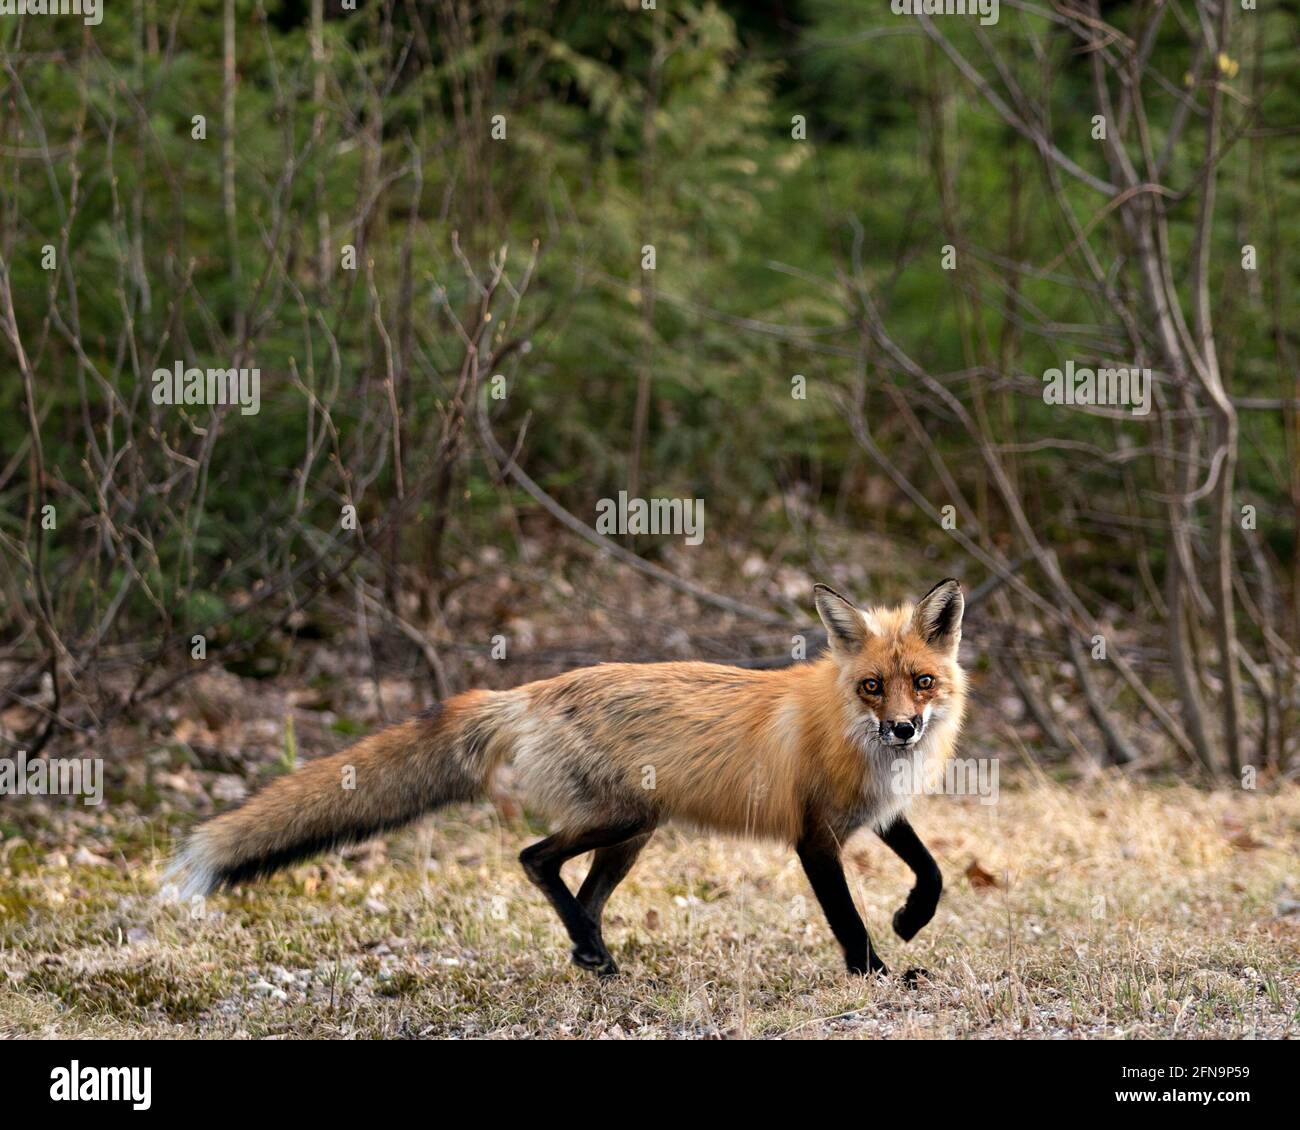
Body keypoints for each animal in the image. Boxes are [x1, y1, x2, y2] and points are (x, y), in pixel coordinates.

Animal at [166, 578, 967, 980]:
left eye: (922, 683)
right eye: (872, 686)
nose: (904, 730)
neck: (856, 736)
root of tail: (528, 691)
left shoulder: (879, 813)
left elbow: (931, 871)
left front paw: (910, 921)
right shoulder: (814, 838)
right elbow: (847, 919)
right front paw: (876, 971)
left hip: (632, 833)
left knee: (578, 893)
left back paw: (593, 955)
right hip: (625, 820)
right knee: (534, 859)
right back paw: (592, 952)